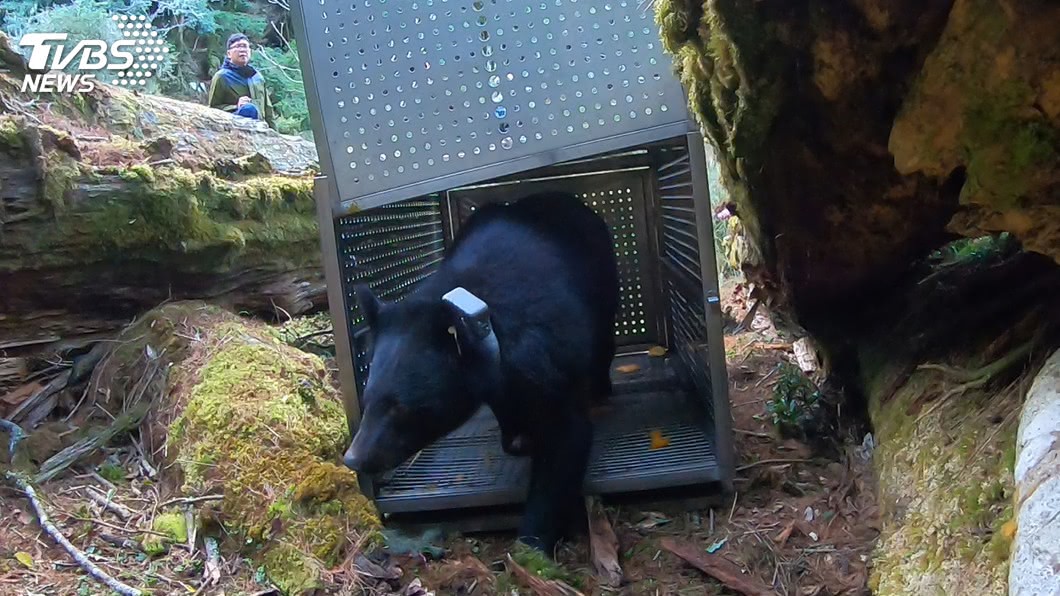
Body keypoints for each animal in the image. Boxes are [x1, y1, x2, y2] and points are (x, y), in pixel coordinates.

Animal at [343, 190, 620, 553]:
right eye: (367, 397)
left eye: (400, 407)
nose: (353, 458)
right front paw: (517, 436)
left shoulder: (550, 355)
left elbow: (566, 439)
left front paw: (531, 544)